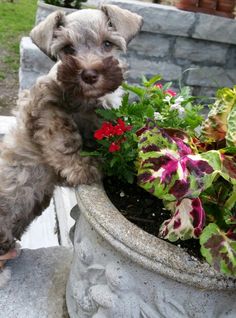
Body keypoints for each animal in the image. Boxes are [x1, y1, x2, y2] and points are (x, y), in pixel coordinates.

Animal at [0, 3, 142, 286]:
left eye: (107, 43)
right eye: (67, 49)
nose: (89, 74)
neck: (84, 101)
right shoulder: (45, 108)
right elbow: (64, 136)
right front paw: (83, 167)